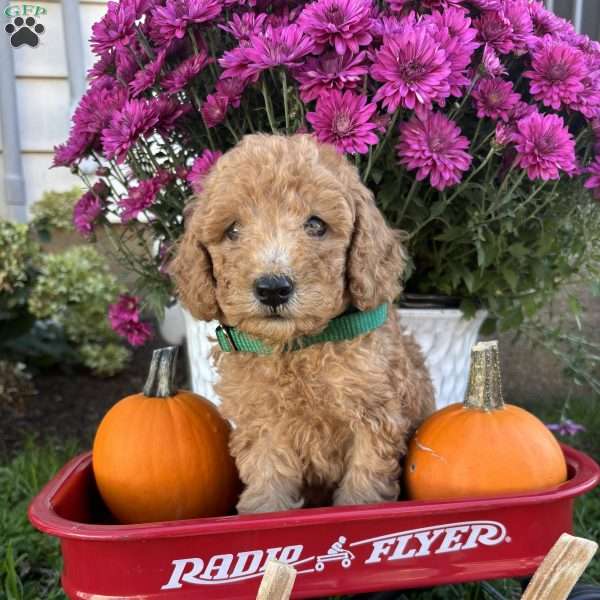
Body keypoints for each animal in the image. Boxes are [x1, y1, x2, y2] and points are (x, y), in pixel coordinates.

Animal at [171, 134, 434, 512]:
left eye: (316, 225)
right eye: (233, 230)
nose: (272, 288)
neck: (296, 347)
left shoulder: (373, 419)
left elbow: (363, 486)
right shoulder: (263, 425)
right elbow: (268, 484)